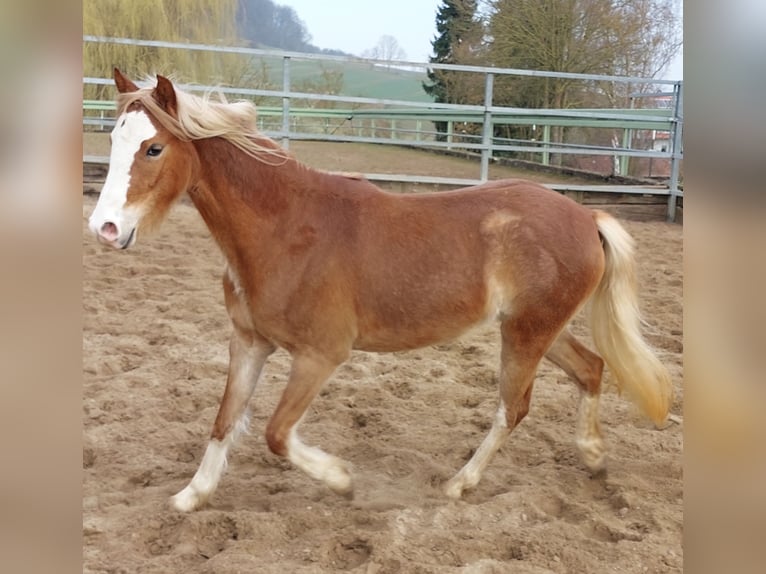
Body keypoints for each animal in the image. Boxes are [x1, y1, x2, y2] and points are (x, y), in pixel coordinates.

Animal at [88, 70, 672, 516]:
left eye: (154, 147)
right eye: (113, 140)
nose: (105, 228)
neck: (285, 229)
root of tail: (587, 216)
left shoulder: (321, 355)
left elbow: (277, 433)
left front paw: (343, 479)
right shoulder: (249, 341)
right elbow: (225, 418)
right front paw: (191, 496)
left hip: (527, 334)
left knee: (514, 408)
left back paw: (459, 484)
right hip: (537, 328)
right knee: (591, 368)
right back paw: (593, 456)